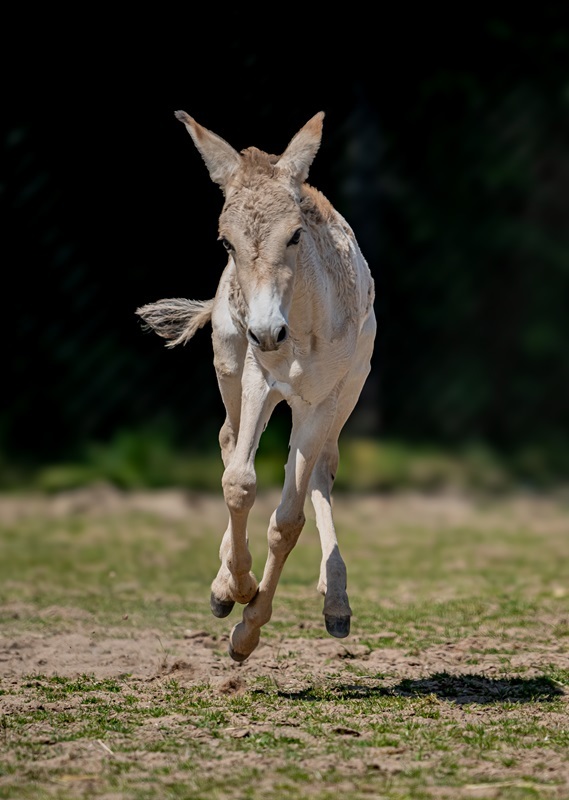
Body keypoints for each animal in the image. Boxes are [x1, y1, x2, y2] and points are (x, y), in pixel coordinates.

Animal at [137, 111, 374, 664]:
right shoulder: (257, 381)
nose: (266, 333)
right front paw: (233, 589)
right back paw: (226, 580)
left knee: (320, 472)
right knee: (229, 443)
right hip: (229, 368)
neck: (300, 332)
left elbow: (288, 519)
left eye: (295, 235)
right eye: (226, 242)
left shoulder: (320, 400)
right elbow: (240, 483)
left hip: (345, 396)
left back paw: (335, 602)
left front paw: (247, 632)